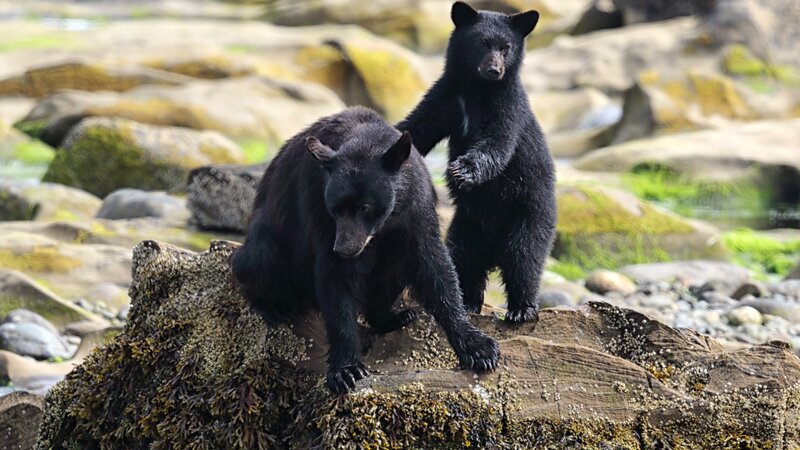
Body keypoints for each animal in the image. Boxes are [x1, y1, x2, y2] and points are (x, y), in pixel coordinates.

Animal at [228, 106, 500, 394]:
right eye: (335, 208)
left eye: (365, 207)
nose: (345, 248)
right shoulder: (320, 210)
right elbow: (336, 279)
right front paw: (346, 370)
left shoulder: (416, 208)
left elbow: (434, 268)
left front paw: (479, 349)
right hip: (268, 241)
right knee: (259, 261)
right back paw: (276, 308)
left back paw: (396, 316)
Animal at [398, 0, 556, 324]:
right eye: (482, 43)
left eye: (506, 47)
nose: (494, 70)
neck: (477, 90)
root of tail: (493, 249)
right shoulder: (446, 96)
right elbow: (418, 127)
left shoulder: (507, 105)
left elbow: (497, 142)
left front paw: (463, 170)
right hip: (466, 226)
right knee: (465, 260)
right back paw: (469, 302)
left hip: (530, 215)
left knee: (524, 258)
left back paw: (521, 308)